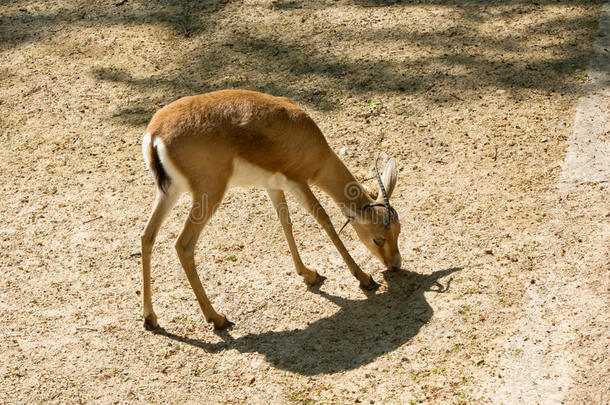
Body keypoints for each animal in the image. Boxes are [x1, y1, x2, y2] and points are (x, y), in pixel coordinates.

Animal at [140, 88, 402, 328]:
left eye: (398, 231)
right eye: (378, 238)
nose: (395, 265)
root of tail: (156, 134)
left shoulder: (272, 185)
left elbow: (285, 221)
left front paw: (308, 274)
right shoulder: (297, 180)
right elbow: (323, 218)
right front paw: (364, 279)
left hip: (170, 192)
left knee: (147, 236)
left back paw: (151, 319)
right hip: (208, 193)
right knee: (183, 245)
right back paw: (217, 318)